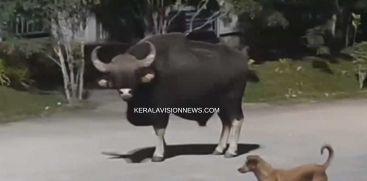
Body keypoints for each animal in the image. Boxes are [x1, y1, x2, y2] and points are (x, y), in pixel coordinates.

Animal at [91, 32, 258, 161]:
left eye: (135, 73)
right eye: (114, 75)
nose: (126, 92)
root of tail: (243, 61)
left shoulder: (160, 110)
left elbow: (159, 129)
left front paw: (158, 154)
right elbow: (157, 130)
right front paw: (164, 149)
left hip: (232, 101)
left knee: (237, 120)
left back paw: (231, 151)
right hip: (220, 104)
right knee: (226, 123)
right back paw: (219, 149)